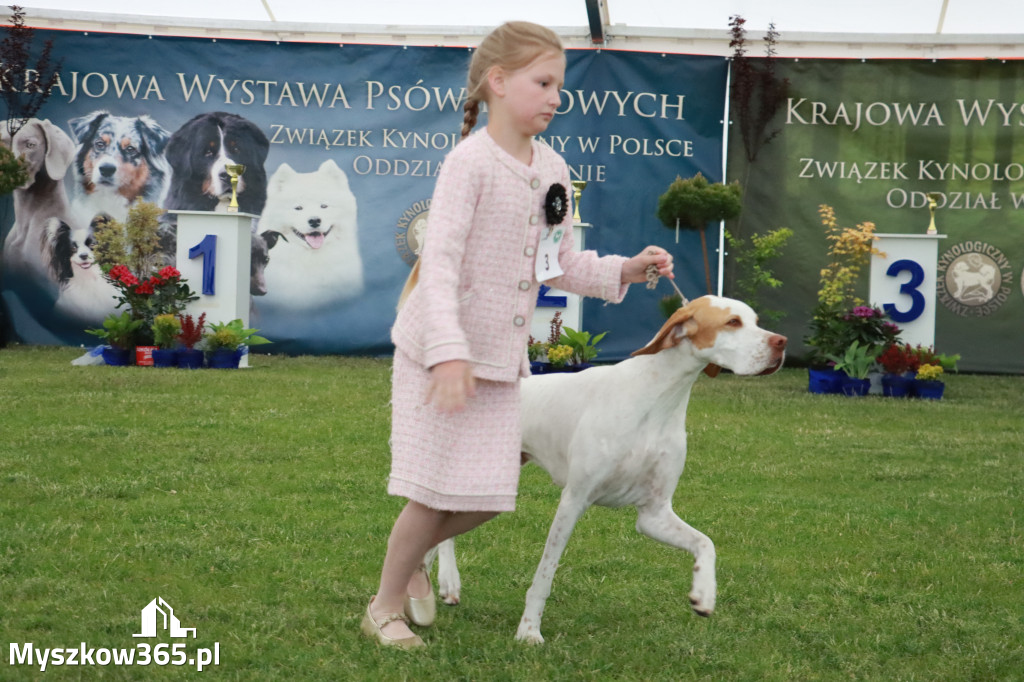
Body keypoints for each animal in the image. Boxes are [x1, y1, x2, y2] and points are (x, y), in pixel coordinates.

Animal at [428, 294, 786, 638]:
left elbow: (705, 543)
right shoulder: (574, 501)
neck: (658, 397)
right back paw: (444, 582)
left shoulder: (654, 514)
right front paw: (528, 631)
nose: (782, 342)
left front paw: (704, 593)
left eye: (756, 321)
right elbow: (545, 574)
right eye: (733, 322)